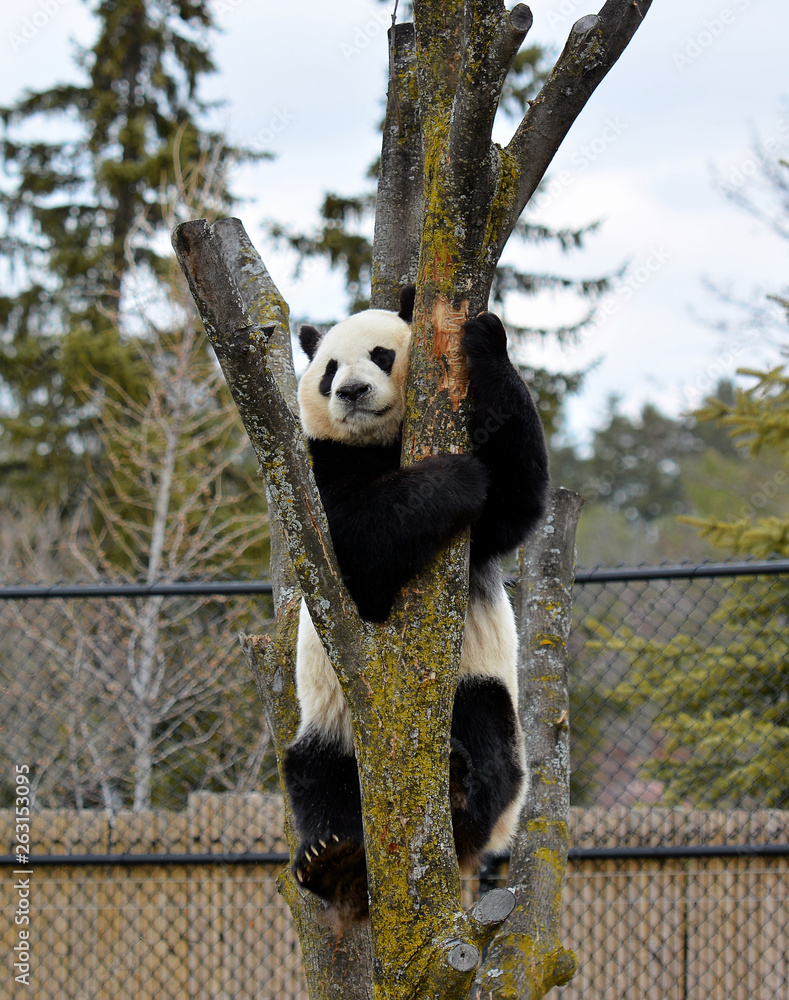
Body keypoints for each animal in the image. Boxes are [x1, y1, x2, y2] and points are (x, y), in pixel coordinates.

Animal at [283, 286, 549, 922]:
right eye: (329, 371)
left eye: (380, 355)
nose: (352, 392)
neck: (384, 447)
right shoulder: (315, 476)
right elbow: (354, 546)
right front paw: (452, 478)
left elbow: (516, 498)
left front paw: (486, 338)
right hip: (332, 724)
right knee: (313, 775)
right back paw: (330, 857)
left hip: (478, 689)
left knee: (488, 733)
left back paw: (456, 790)